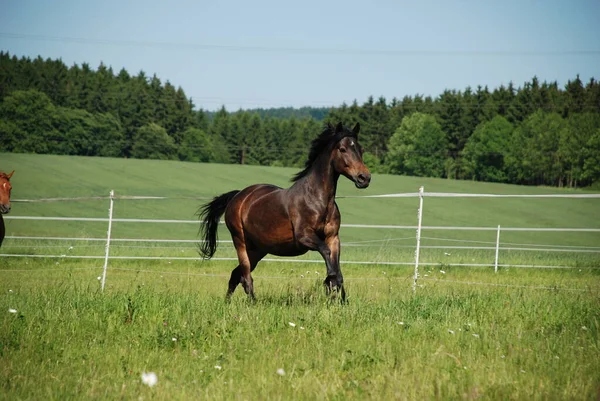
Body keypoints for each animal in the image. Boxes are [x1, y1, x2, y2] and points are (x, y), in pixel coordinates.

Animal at [198, 122, 370, 300]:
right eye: (342, 149)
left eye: (361, 149)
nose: (364, 178)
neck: (317, 200)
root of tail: (238, 196)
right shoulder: (305, 237)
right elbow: (326, 253)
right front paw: (330, 280)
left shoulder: (333, 238)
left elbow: (338, 270)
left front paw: (341, 299)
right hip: (241, 242)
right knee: (246, 277)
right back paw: (252, 302)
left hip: (257, 249)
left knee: (235, 275)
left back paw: (228, 302)